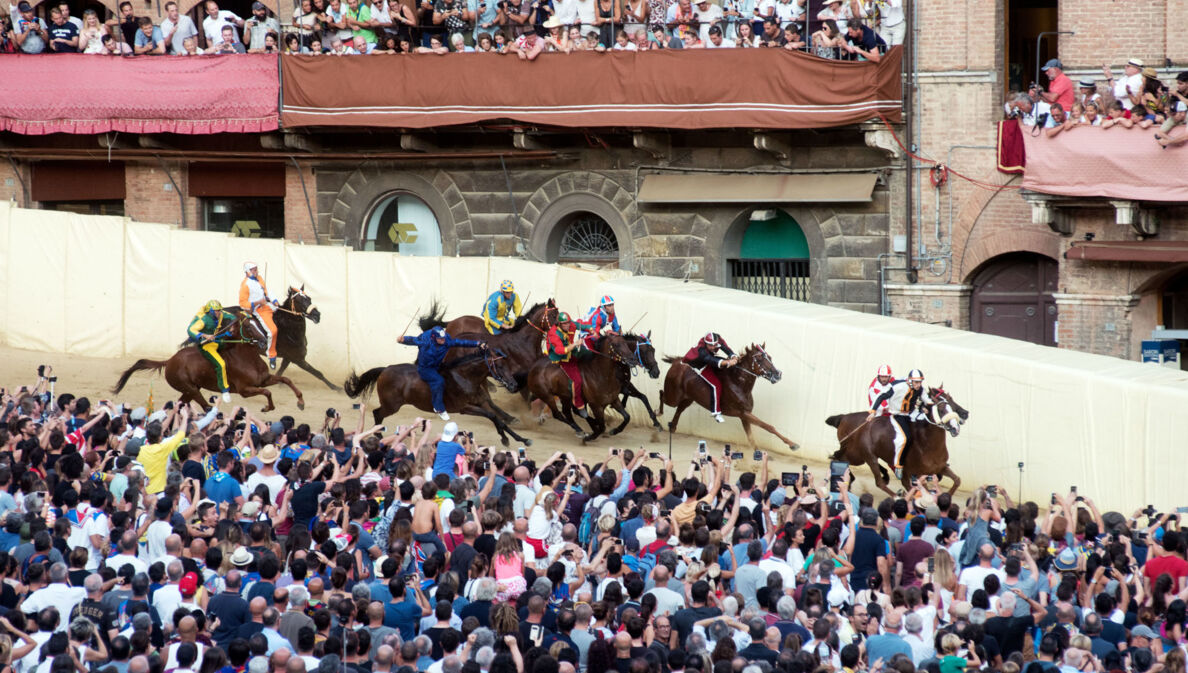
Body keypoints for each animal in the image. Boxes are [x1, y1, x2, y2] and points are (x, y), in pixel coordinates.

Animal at [114, 313, 306, 413]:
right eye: (248, 327)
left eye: (258, 322)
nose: (265, 342)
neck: (247, 359)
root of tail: (169, 361)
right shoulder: (244, 390)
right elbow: (267, 392)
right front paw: (267, 408)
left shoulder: (263, 379)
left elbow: (286, 380)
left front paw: (300, 402)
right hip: (190, 389)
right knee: (205, 406)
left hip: (190, 390)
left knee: (180, 404)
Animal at [342, 342, 532, 449]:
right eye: (499, 366)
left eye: (508, 365)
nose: (514, 385)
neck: (465, 377)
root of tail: (385, 369)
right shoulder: (465, 408)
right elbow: (492, 416)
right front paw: (507, 439)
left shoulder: (482, 403)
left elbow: (498, 419)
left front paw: (519, 439)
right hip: (392, 405)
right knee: (377, 413)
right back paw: (379, 437)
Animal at [655, 347, 803, 454]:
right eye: (760, 359)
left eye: (770, 358)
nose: (778, 374)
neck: (739, 383)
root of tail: (677, 362)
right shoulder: (743, 413)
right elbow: (768, 426)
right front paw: (793, 444)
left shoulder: (745, 415)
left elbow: (750, 436)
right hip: (673, 396)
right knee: (662, 394)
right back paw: (658, 414)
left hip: (689, 398)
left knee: (680, 408)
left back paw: (673, 426)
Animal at [826, 387, 964, 499]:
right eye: (941, 409)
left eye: (951, 403)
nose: (956, 428)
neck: (928, 444)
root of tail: (844, 417)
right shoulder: (914, 471)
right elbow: (917, 489)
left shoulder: (940, 467)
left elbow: (957, 480)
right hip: (865, 456)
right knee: (877, 481)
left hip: (859, 456)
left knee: (839, 457)